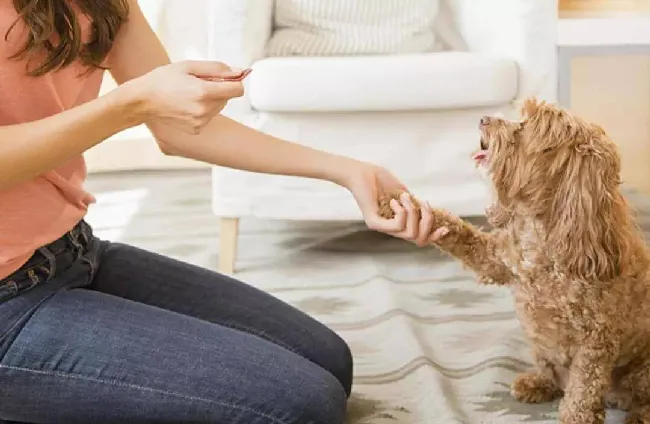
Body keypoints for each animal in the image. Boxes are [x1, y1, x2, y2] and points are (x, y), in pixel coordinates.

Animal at [378, 98, 648, 424]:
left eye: (525, 128)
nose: (483, 119)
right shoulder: (497, 259)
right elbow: (459, 231)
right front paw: (394, 202)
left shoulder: (596, 338)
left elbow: (583, 391)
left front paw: (575, 416)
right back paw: (539, 383)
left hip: (640, 370)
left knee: (638, 395)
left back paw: (640, 414)